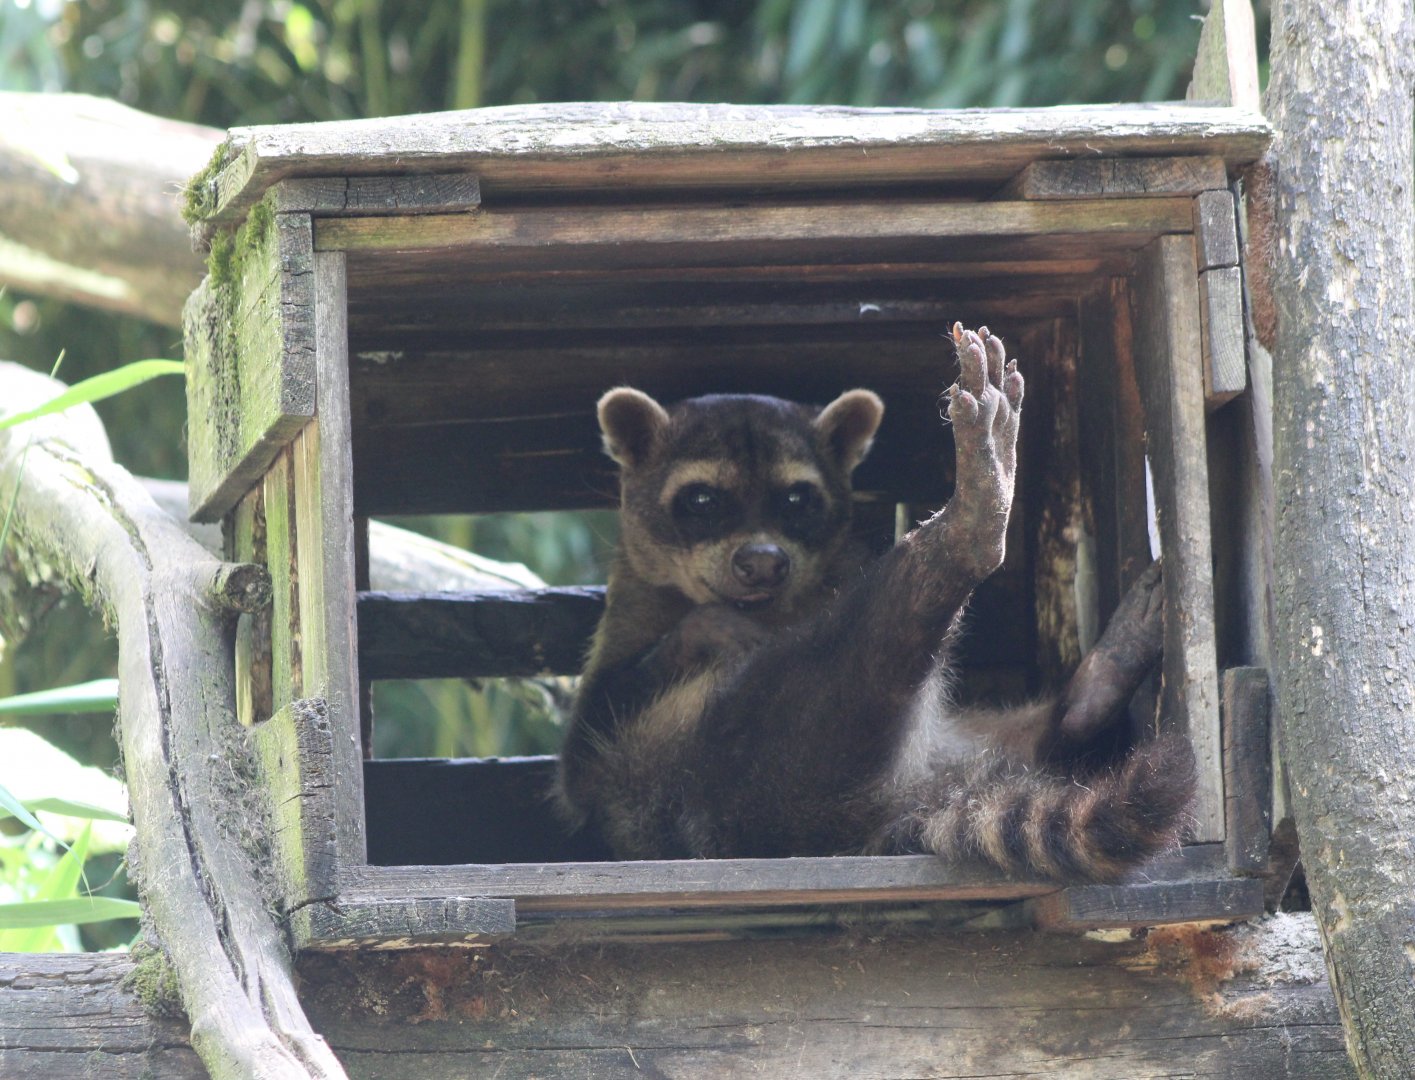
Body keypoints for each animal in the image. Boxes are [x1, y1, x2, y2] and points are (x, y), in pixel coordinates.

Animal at [557, 324, 1195, 882]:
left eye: (797, 499)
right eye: (703, 499)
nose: (762, 562)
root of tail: (892, 811)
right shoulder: (626, 631)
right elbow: (587, 744)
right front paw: (707, 626)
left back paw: (1083, 694)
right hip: (745, 770)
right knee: (855, 668)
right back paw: (955, 543)